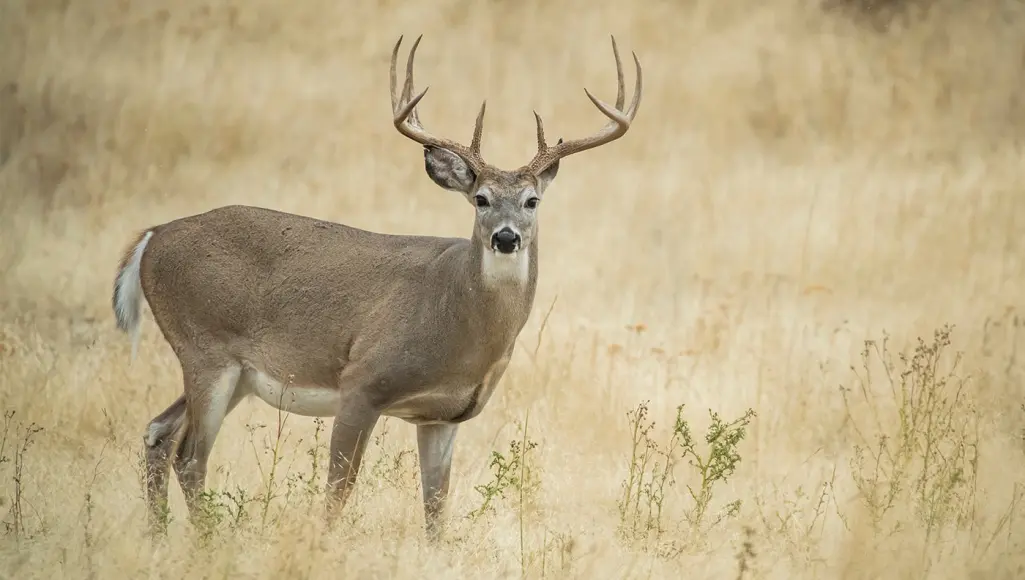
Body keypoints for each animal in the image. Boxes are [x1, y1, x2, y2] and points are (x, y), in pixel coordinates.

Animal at [112, 34, 639, 536]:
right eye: (481, 199)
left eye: (532, 201)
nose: (505, 237)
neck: (458, 322)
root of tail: (153, 236)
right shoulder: (362, 381)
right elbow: (337, 491)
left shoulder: (442, 416)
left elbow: (435, 508)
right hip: (205, 347)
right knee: (189, 456)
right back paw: (204, 541)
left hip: (234, 372)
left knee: (158, 433)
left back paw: (158, 539)